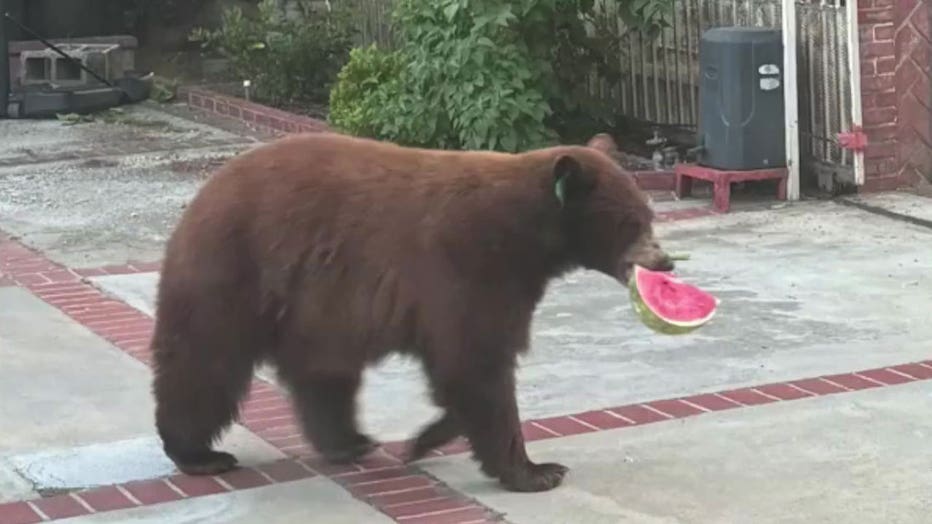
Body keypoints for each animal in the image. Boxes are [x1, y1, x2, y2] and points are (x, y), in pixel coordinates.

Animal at [151, 131, 676, 492]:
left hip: (315, 307)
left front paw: (425, 439)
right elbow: (476, 364)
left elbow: (466, 371)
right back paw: (197, 452)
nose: (665, 261)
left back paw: (348, 441)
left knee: (323, 373)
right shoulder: (467, 266)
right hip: (234, 270)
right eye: (632, 221)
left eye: (648, 214)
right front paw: (536, 470)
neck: (528, 235)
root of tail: (204, 193)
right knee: (204, 360)